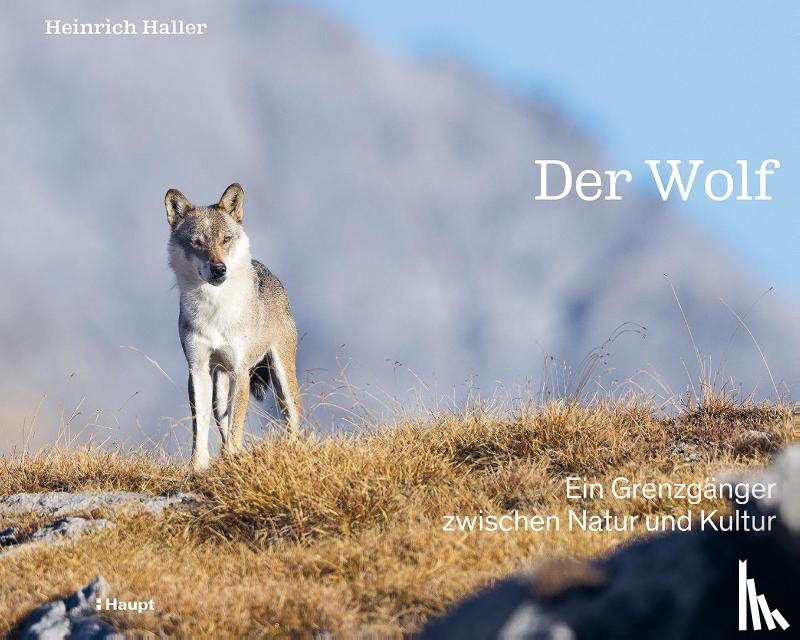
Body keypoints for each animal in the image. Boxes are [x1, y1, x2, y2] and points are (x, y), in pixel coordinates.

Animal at [165, 183, 301, 470]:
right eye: (197, 242)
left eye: (226, 239)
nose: (219, 269)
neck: (214, 308)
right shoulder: (197, 370)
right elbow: (200, 426)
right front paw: (198, 465)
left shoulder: (240, 371)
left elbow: (237, 423)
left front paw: (234, 456)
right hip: (219, 384)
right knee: (222, 419)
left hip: (282, 377)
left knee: (294, 419)